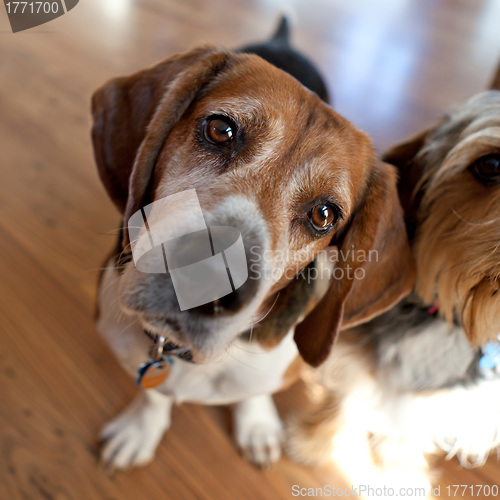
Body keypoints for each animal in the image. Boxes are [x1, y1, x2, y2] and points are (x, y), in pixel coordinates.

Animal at [288, 72, 500, 494]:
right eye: (492, 164)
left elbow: (409, 429)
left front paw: (397, 474)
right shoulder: (355, 353)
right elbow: (350, 397)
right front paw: (317, 444)